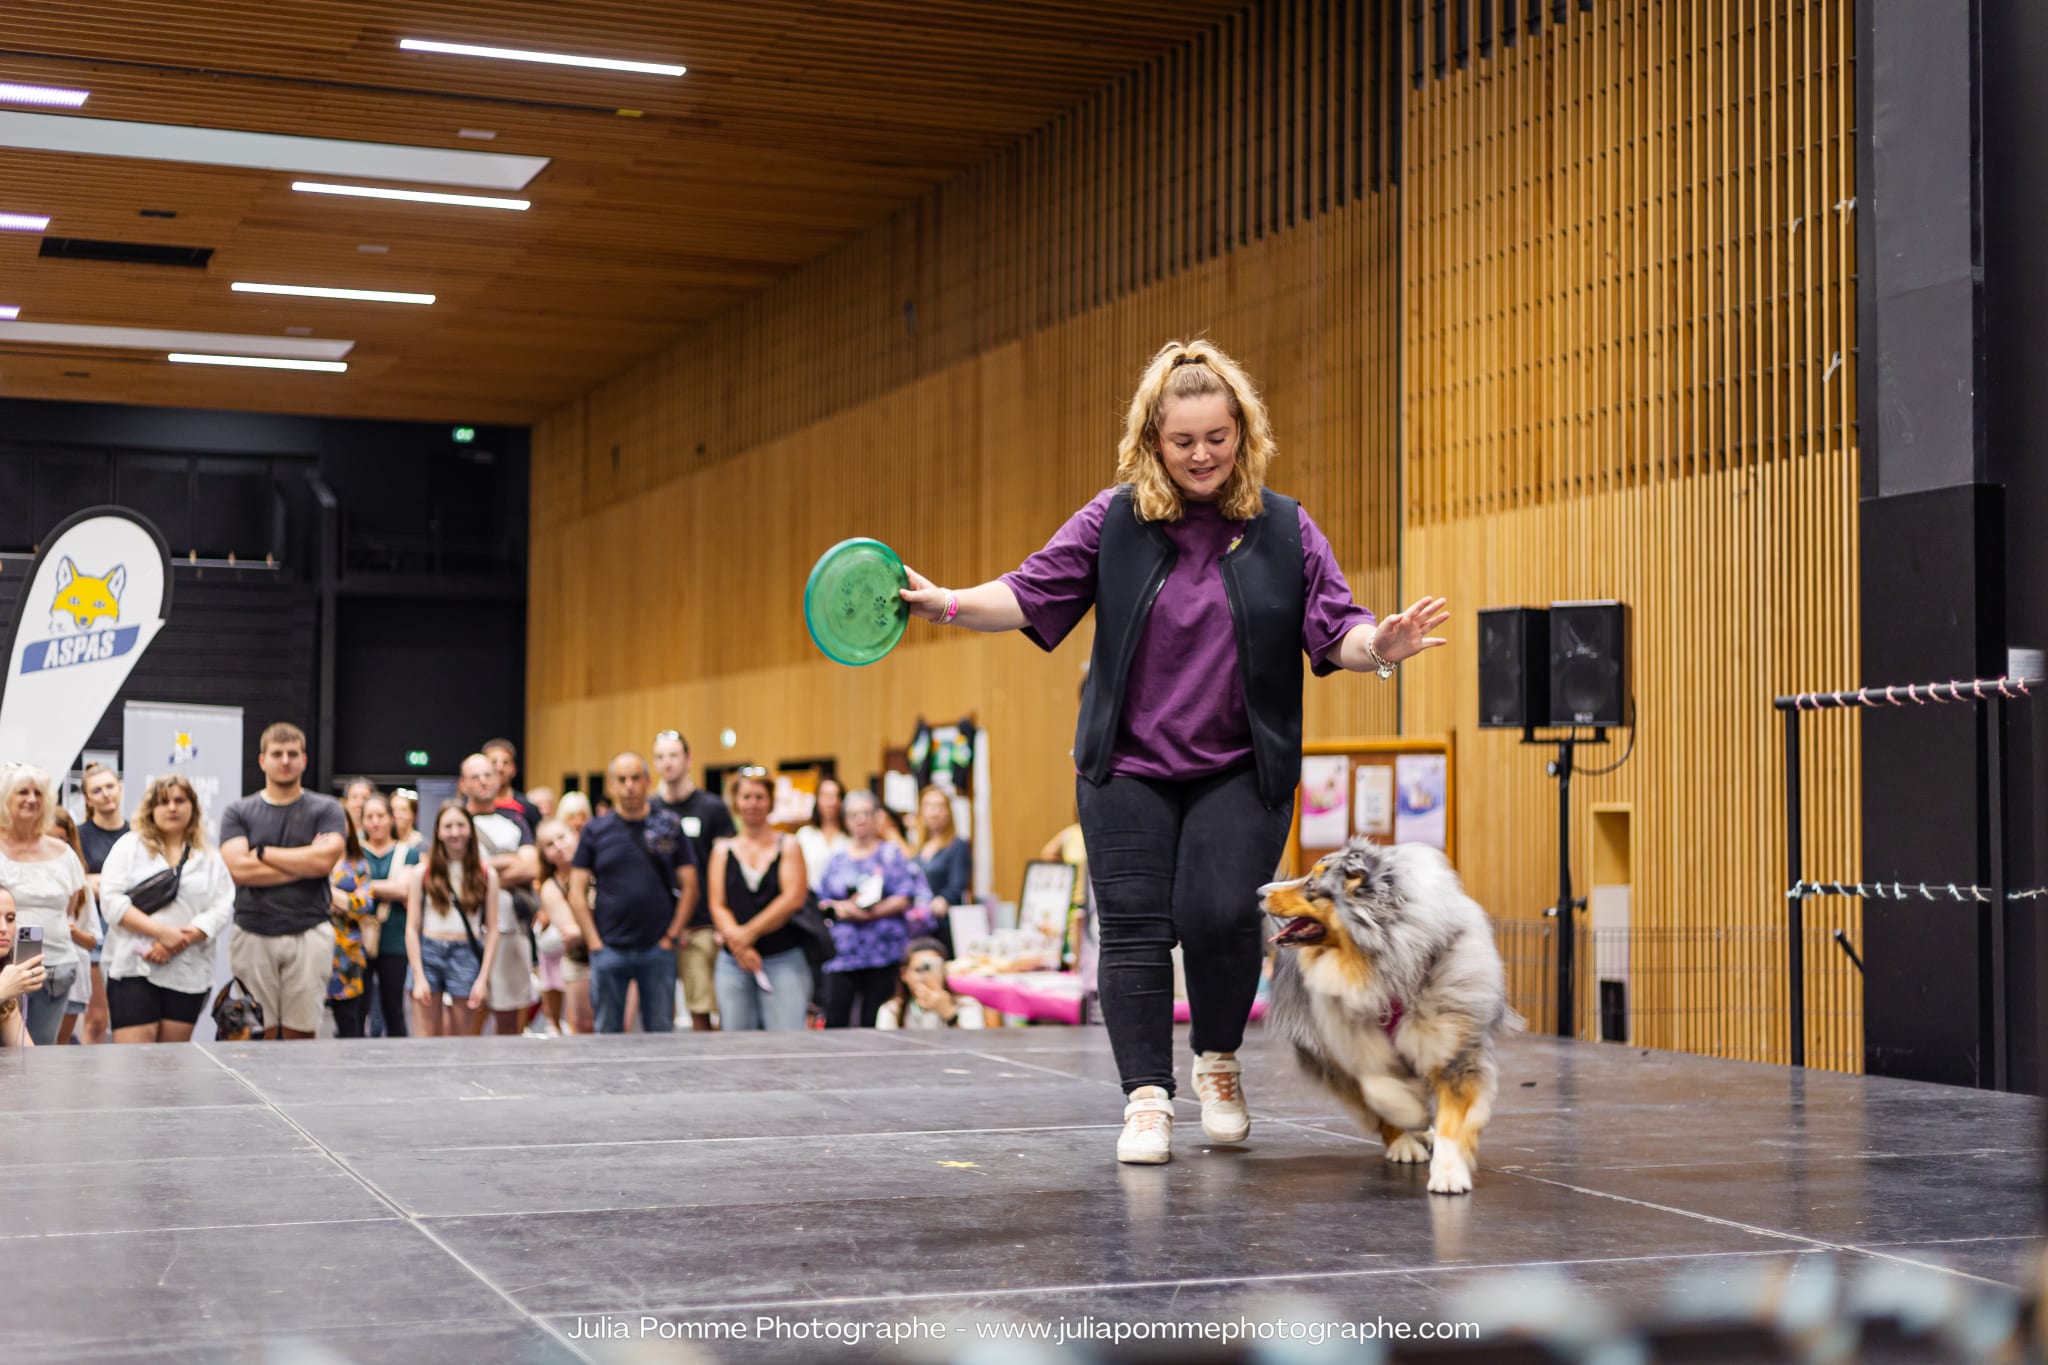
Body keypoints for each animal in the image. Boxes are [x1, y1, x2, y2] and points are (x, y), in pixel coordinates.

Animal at [1253, 834, 1515, 1195]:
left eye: (1311, 885)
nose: (1259, 891)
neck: (1381, 968)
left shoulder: (1454, 1052)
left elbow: (1452, 1121)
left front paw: (1448, 1174)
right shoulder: (1344, 1044)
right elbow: (1379, 1090)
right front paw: (1408, 1119)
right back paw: (1407, 1138)